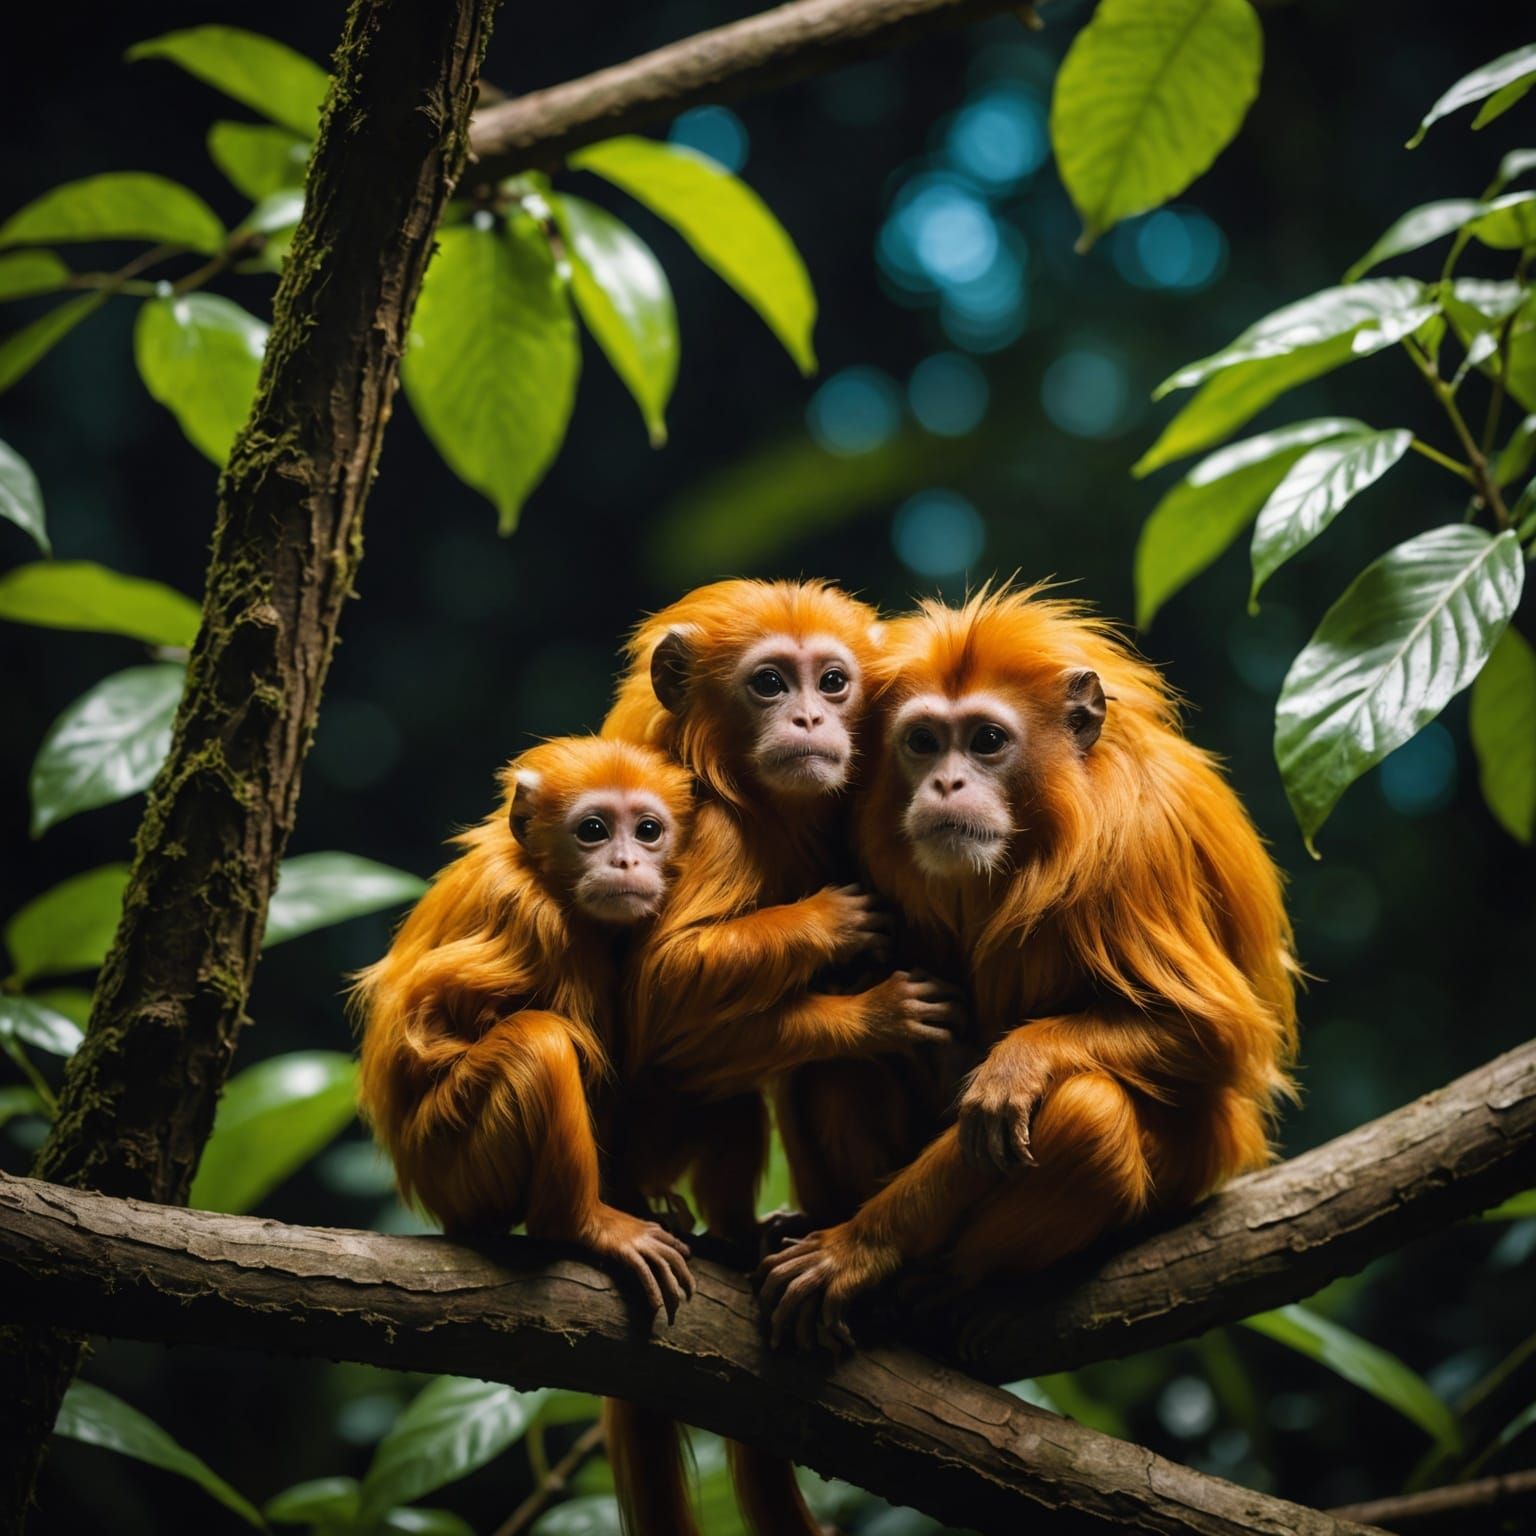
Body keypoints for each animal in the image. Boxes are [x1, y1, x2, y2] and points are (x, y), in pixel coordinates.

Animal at [354, 735, 697, 1321]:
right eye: (593, 830)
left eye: (648, 830)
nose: (626, 861)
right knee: (542, 1041)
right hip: (456, 1162)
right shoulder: (532, 915)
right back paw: (579, 1224)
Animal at [598, 578, 964, 1536]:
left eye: (832, 681)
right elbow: (666, 1005)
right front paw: (868, 1001)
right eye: (770, 684)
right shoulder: (711, 827)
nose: (808, 719)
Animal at [757, 585, 1299, 1351]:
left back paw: (950, 1282)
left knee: (1088, 1112)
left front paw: (859, 1246)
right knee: (836, 1056)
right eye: (924, 743)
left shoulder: (1140, 838)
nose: (947, 783)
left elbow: (1214, 1038)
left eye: (986, 742)